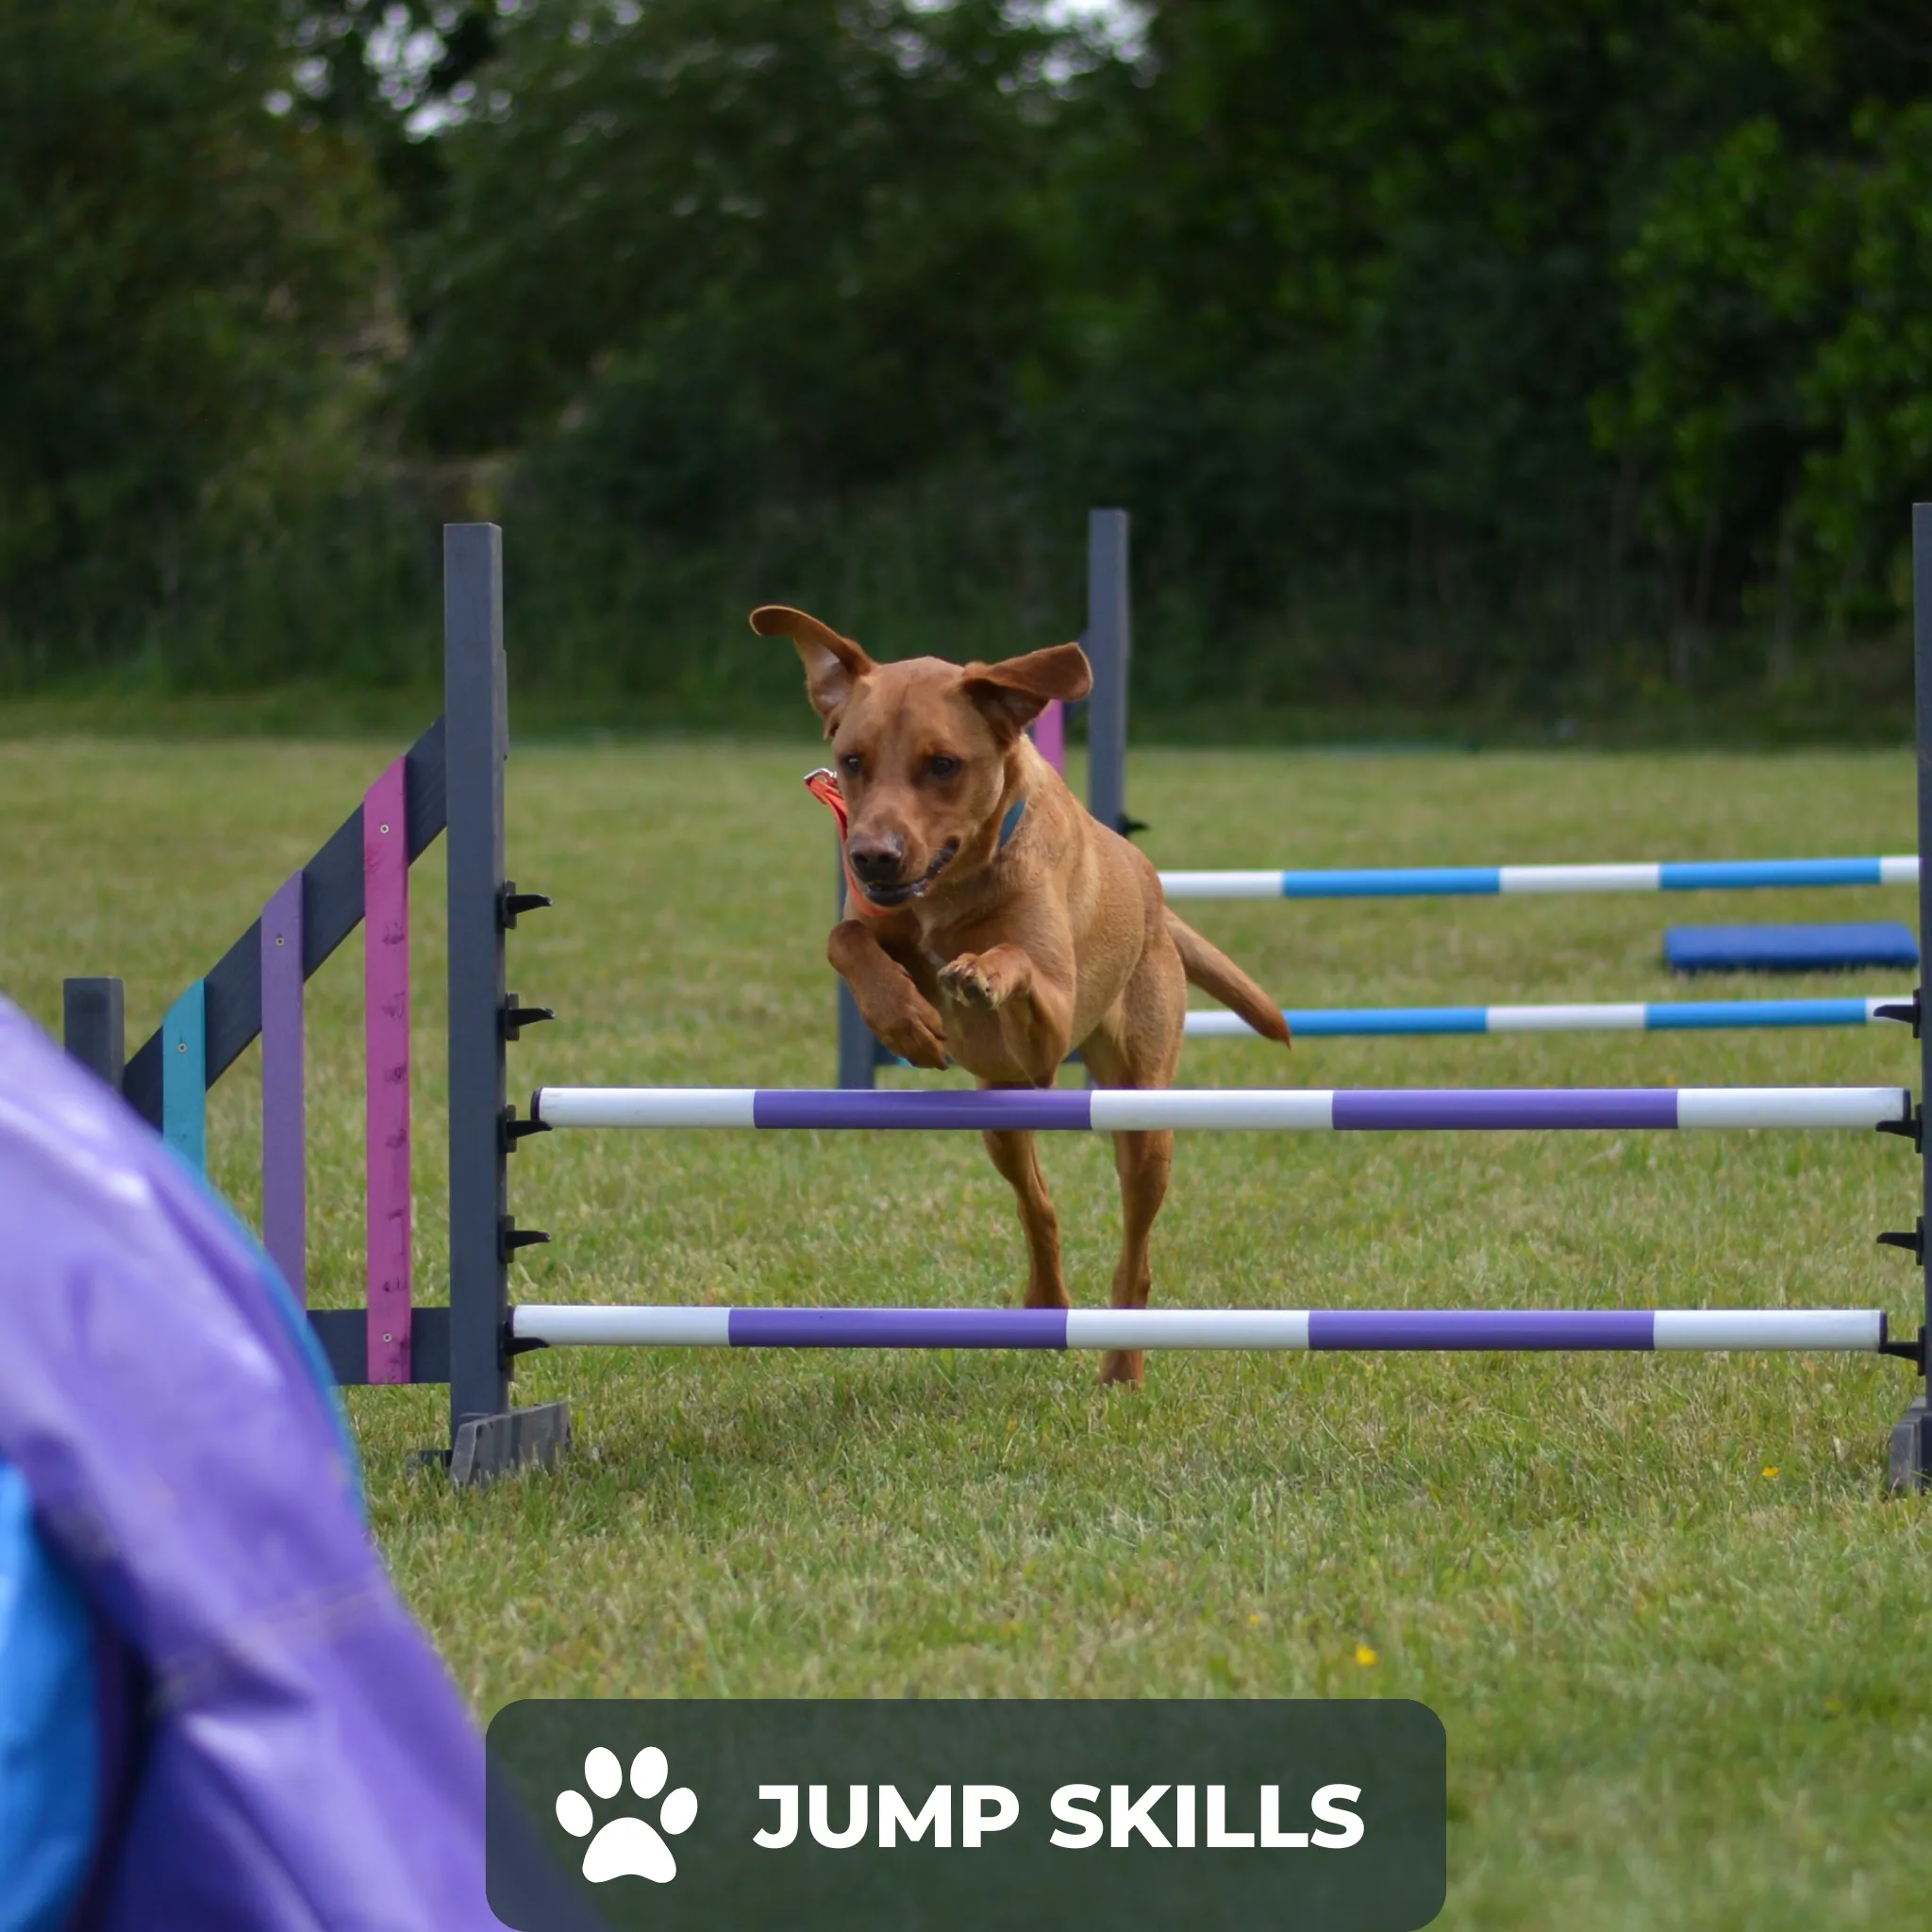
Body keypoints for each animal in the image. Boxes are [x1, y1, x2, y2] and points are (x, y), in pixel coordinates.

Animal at [749, 610, 1282, 1383]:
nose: (871, 856)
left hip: (1142, 1115)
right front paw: (905, 1020)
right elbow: (844, 938)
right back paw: (1046, 1307)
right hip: (1000, 1117)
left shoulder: (1049, 1037)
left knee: (1136, 1254)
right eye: (851, 760)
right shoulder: (878, 923)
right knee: (1041, 1208)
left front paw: (980, 973)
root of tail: (1155, 895)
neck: (951, 889)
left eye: (943, 764)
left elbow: (1018, 961)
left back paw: (1122, 1363)